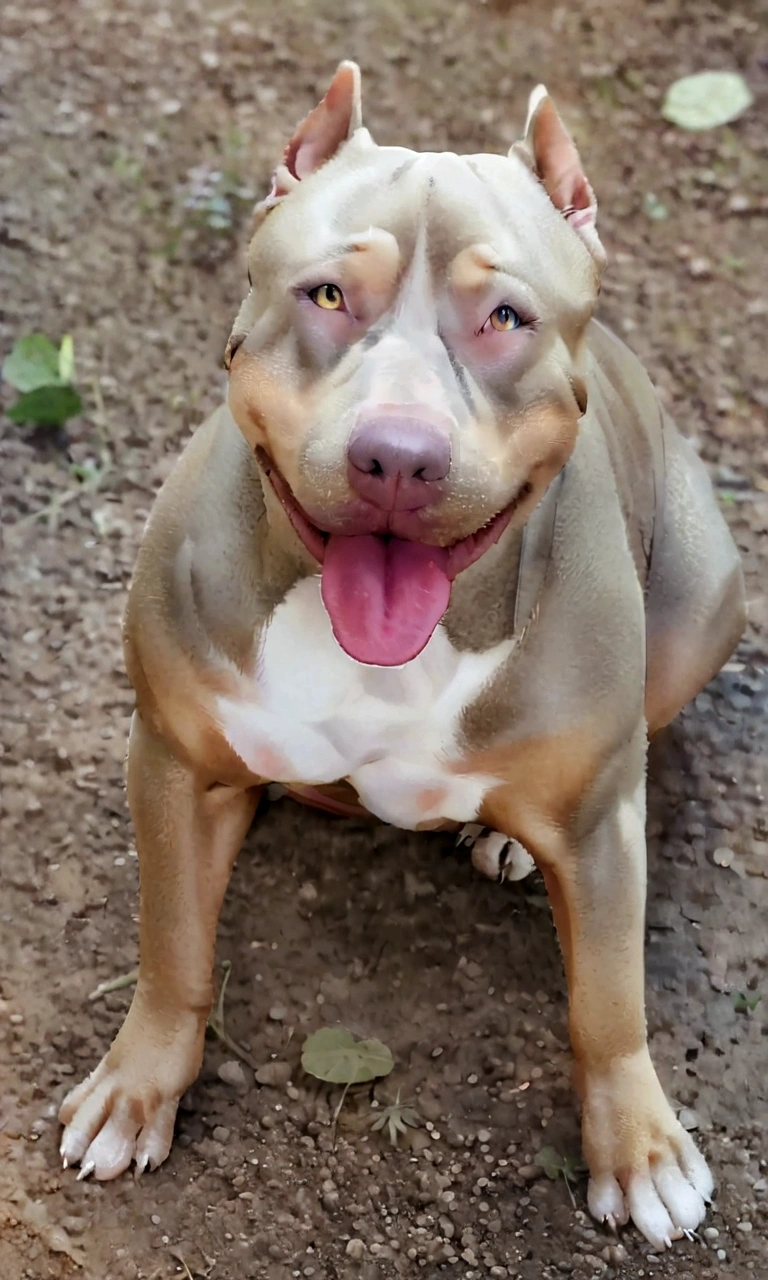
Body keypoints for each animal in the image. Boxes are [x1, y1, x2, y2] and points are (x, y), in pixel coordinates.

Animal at [58, 62, 742, 1249]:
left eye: (506, 317)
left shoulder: (603, 823)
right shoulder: (174, 763)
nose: (398, 457)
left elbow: (608, 998)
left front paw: (642, 1151)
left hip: (709, 595)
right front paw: (135, 1090)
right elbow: (173, 950)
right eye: (328, 297)